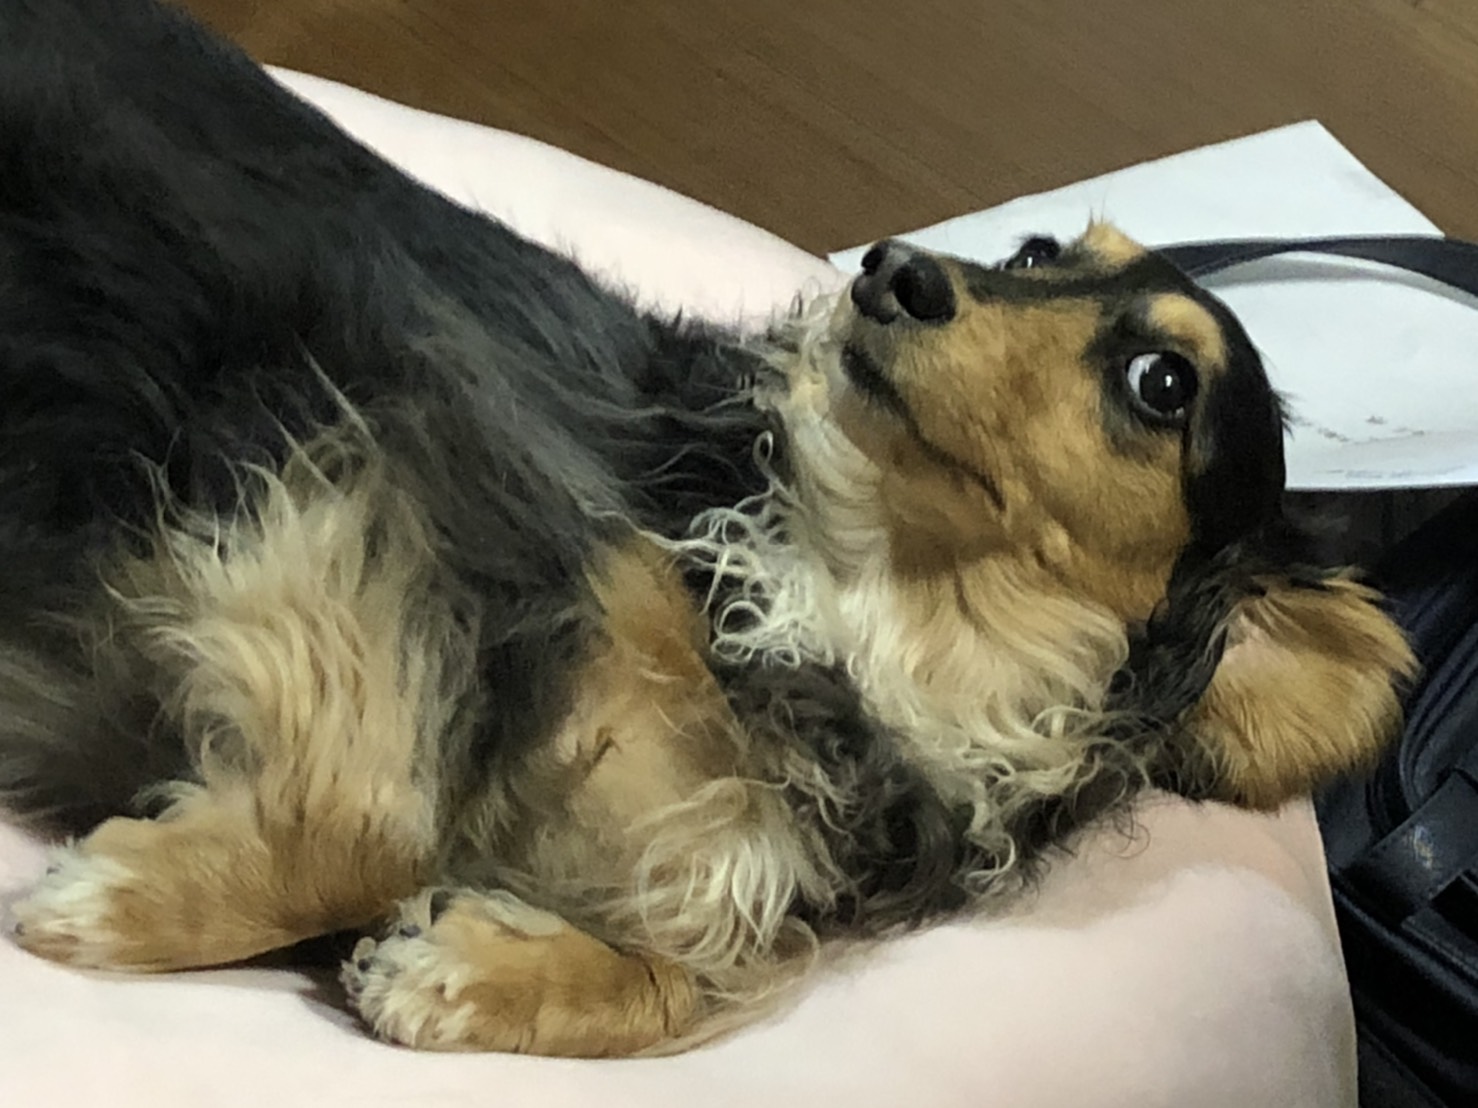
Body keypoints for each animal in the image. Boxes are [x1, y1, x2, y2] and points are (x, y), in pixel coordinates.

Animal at [0, 0, 1414, 1057]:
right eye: (1031, 252)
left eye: (1160, 384)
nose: (890, 271)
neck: (843, 606)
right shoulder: (389, 453)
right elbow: (374, 822)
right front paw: (114, 900)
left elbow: (686, 975)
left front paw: (469, 968)